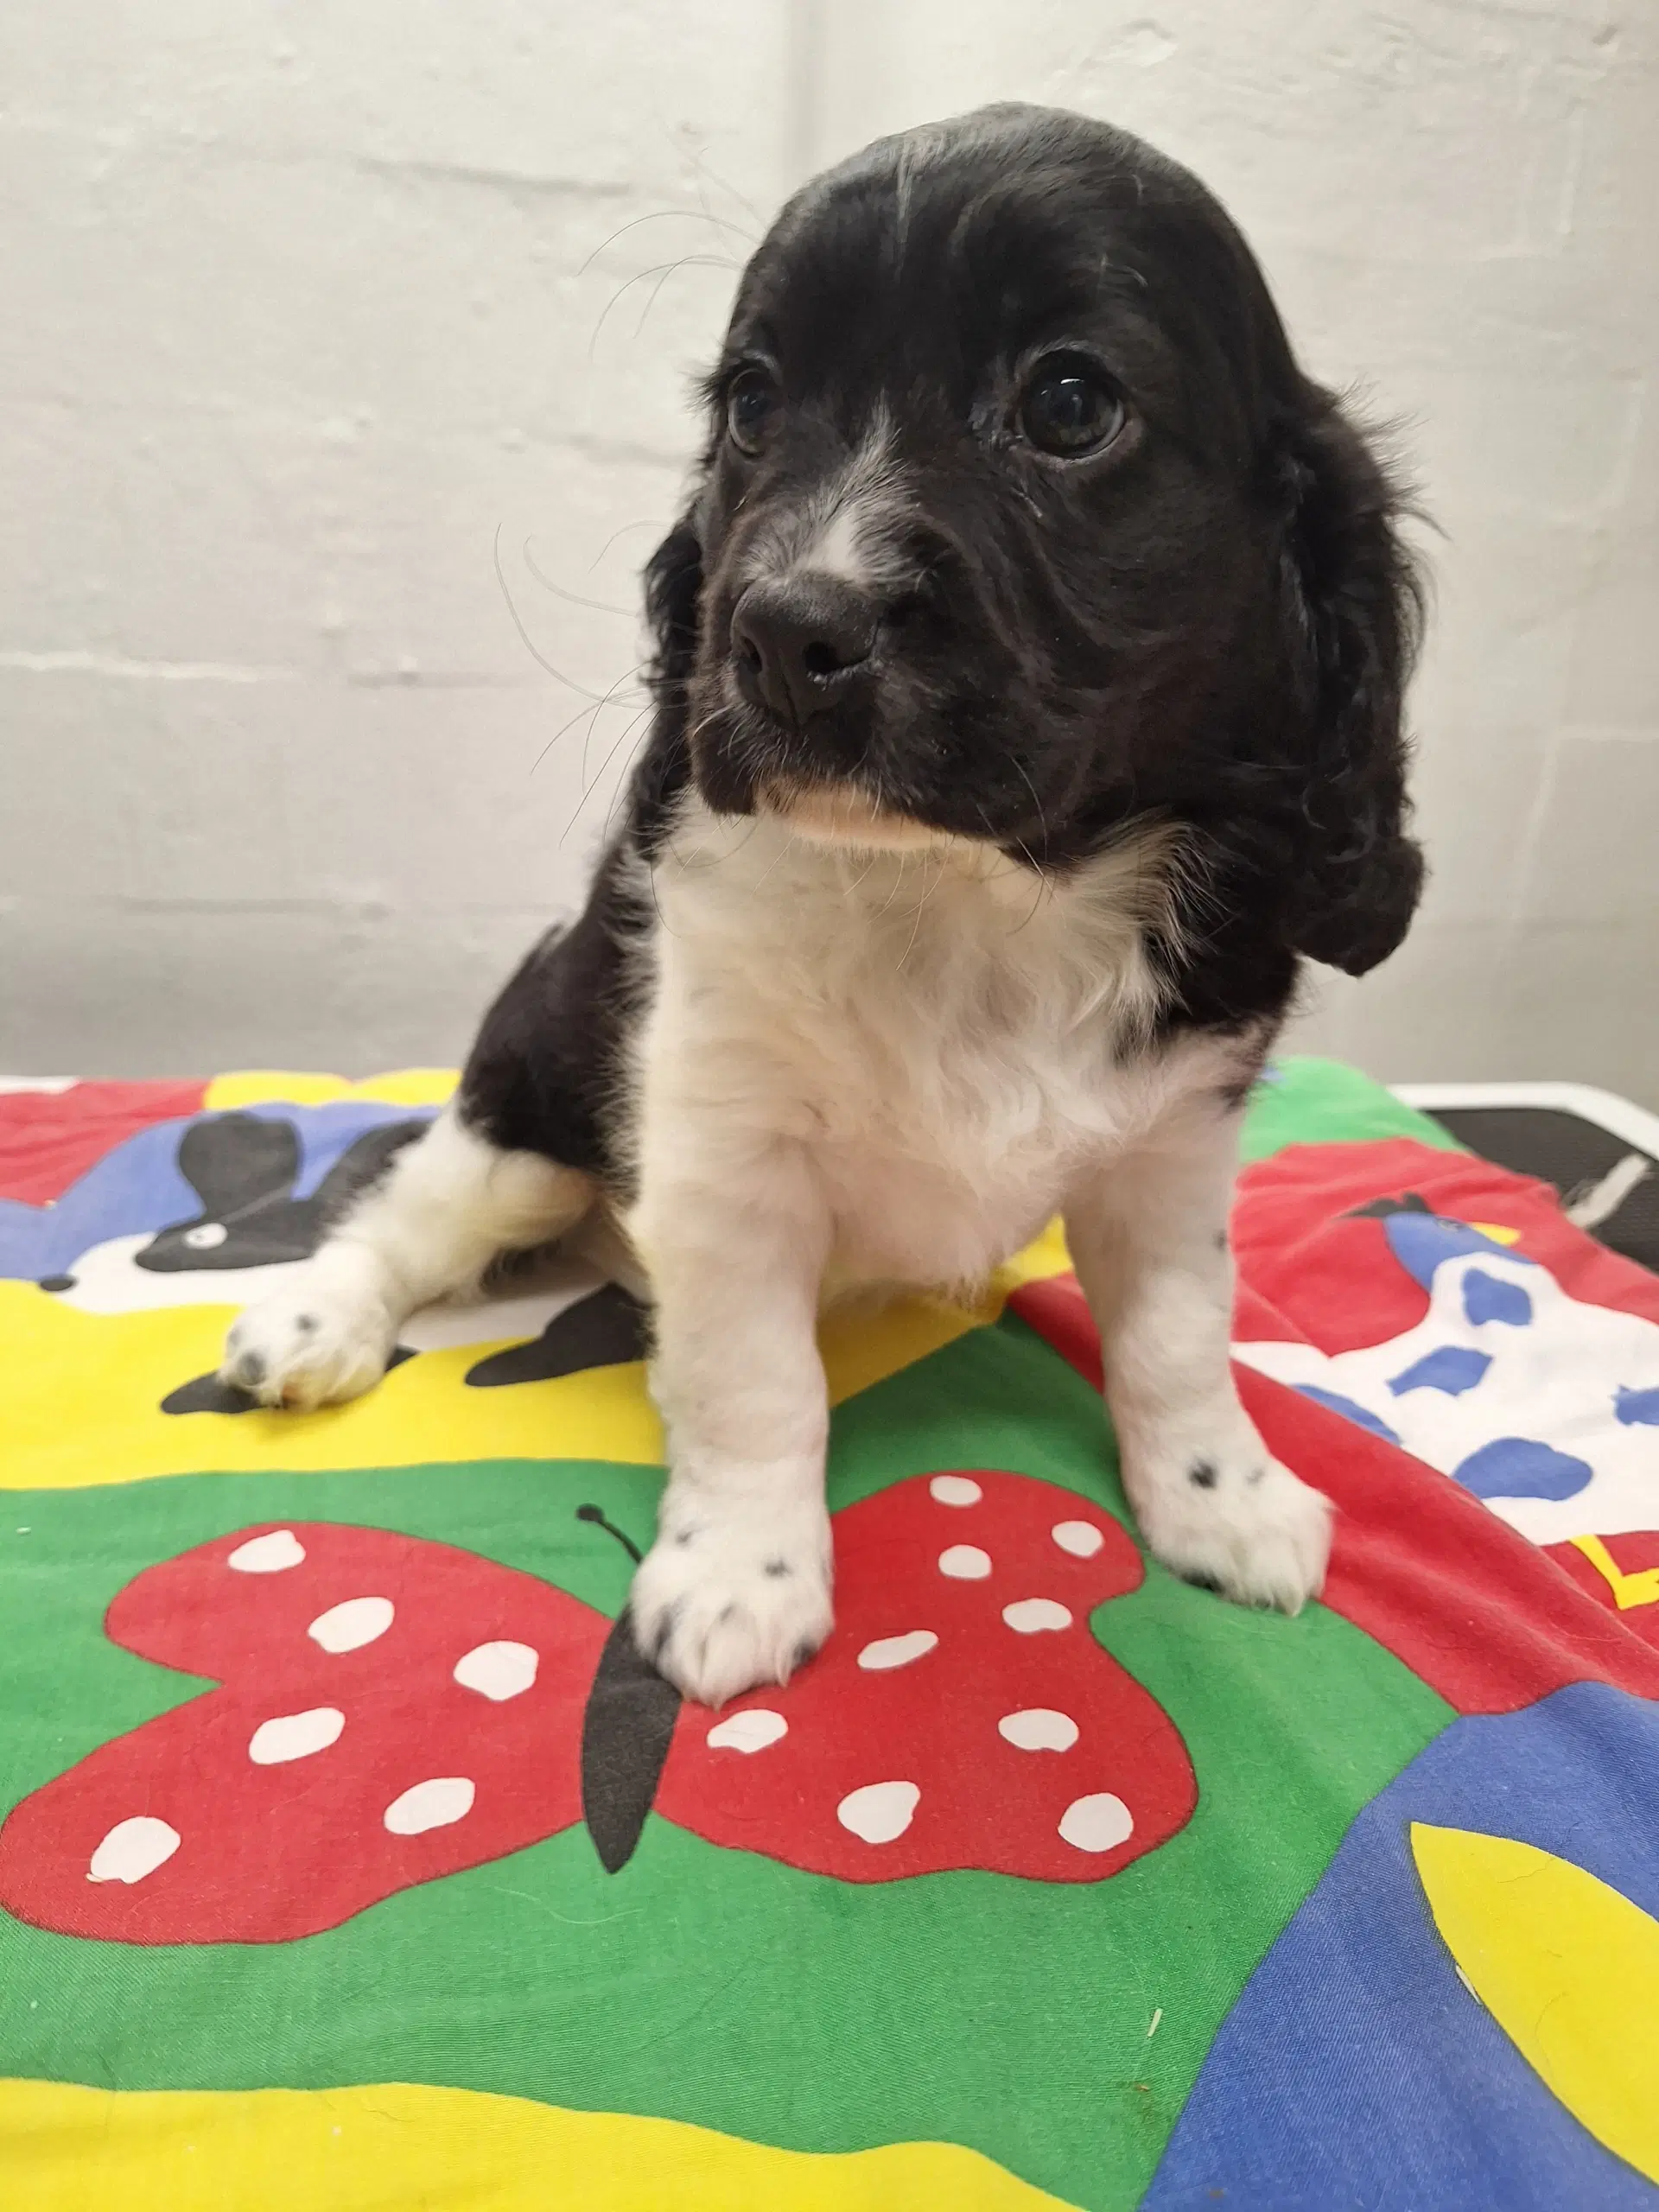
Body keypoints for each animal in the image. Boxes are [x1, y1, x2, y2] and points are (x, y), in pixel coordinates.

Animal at [224, 107, 1433, 1707]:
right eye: (751, 403)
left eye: (1069, 404)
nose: (785, 633)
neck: (973, 895)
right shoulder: (724, 1154)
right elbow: (757, 1380)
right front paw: (741, 1575)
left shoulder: (1171, 1145)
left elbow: (1179, 1331)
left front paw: (1218, 1499)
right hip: (533, 1098)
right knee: (408, 1208)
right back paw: (311, 1323)